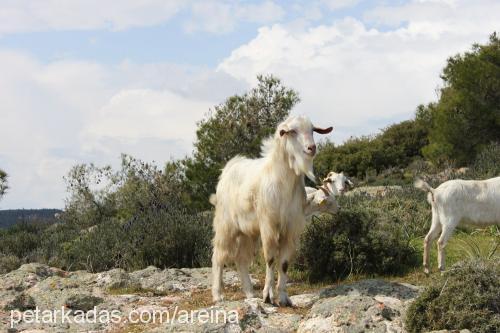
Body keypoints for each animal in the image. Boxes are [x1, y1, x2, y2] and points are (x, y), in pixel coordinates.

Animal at [211, 115, 332, 304]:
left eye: (313, 130)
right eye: (292, 131)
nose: (311, 148)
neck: (282, 181)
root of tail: (229, 168)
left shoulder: (291, 228)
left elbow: (284, 263)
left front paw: (283, 297)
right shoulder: (269, 225)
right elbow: (270, 258)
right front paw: (268, 296)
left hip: (248, 232)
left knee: (240, 259)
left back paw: (250, 293)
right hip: (226, 225)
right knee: (218, 256)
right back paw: (218, 295)